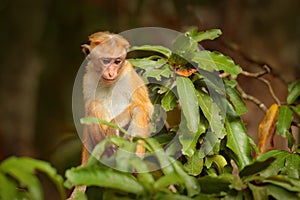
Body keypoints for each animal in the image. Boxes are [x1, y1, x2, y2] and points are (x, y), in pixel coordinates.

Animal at [68, 31, 152, 198]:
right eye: (106, 61)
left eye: (117, 61)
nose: (111, 72)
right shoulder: (88, 78)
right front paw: (80, 183)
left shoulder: (128, 73)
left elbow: (146, 106)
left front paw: (113, 125)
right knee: (94, 105)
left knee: (139, 109)